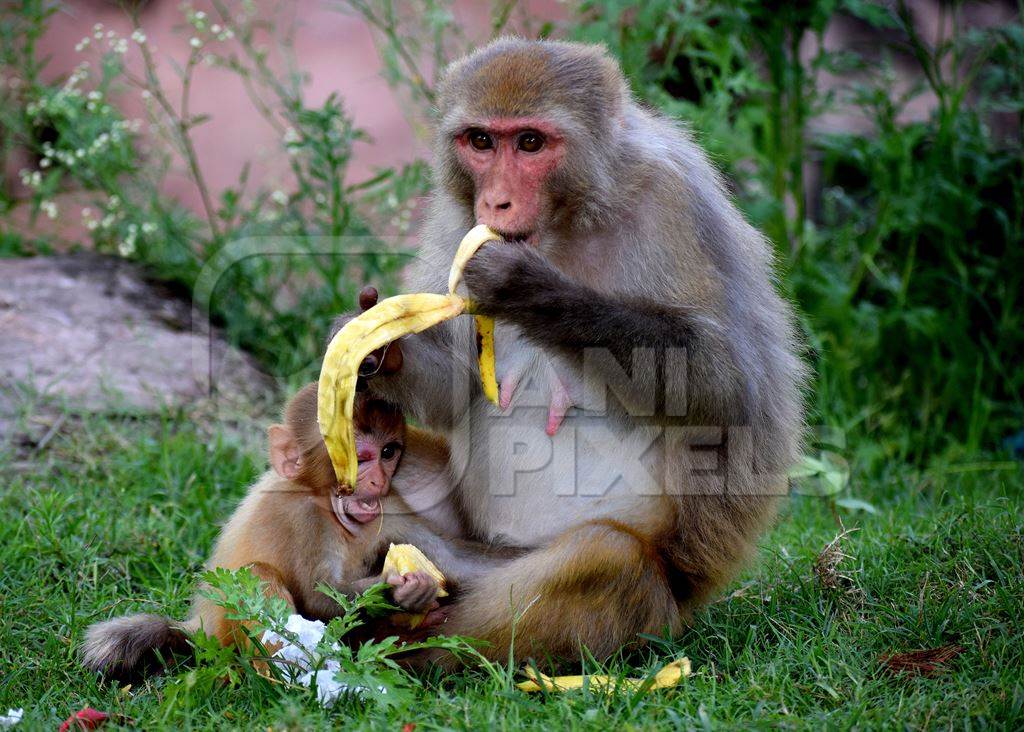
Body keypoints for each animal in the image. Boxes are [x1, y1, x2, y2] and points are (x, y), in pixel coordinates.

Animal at [77, 386, 446, 679]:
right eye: (358, 458)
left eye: (388, 452)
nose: (378, 480)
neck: (325, 502)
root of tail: (201, 630)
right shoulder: (305, 518)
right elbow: (319, 598)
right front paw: (398, 589)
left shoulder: (391, 505)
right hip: (228, 630)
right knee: (257, 574)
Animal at [346, 38, 806, 663]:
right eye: (482, 141)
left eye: (530, 143)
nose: (497, 203)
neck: (568, 220)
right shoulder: (457, 216)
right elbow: (454, 389)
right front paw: (381, 351)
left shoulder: (672, 202)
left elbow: (726, 384)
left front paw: (528, 288)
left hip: (647, 605)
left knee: (606, 559)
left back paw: (410, 641)